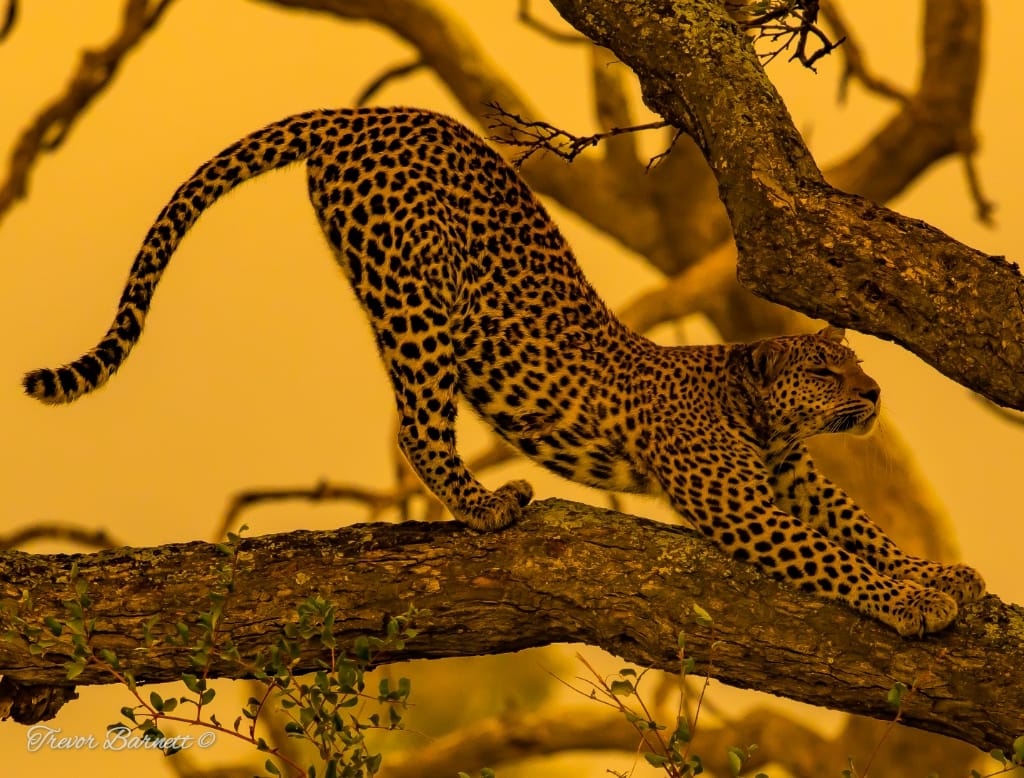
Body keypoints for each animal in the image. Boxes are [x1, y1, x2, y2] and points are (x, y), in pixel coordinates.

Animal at [23, 106, 985, 637]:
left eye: (855, 364)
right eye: (825, 370)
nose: (873, 394)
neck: (757, 412)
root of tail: (360, 115)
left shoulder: (793, 479)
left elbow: (859, 527)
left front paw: (937, 575)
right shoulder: (742, 502)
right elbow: (830, 557)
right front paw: (910, 600)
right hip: (416, 296)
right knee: (419, 427)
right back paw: (486, 507)